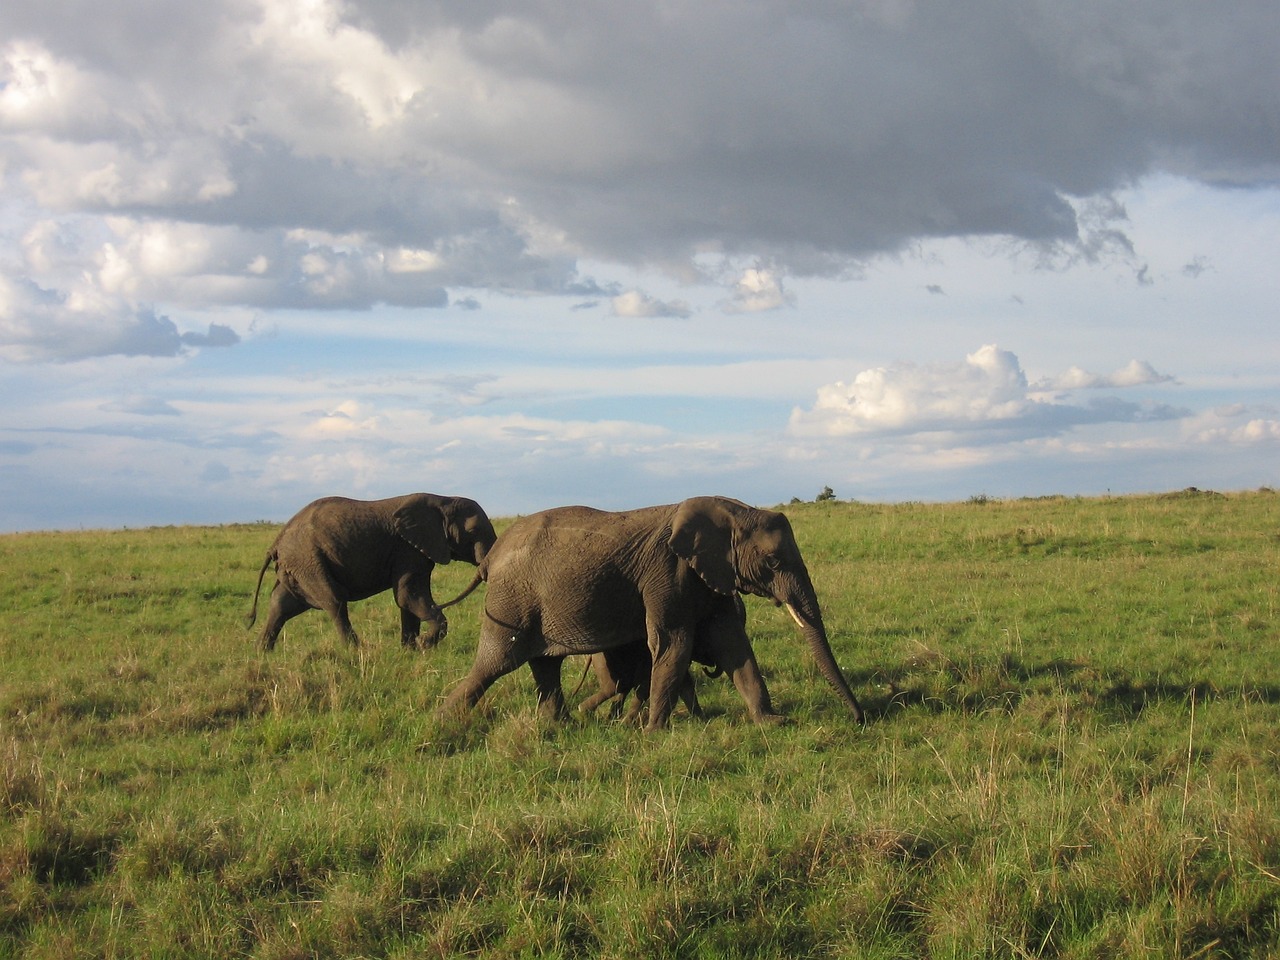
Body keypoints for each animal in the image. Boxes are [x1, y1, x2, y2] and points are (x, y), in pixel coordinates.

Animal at [247, 496, 496, 655]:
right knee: (334, 601)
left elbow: (407, 599)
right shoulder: (408, 549)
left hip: (298, 566)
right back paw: (357, 651)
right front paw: (424, 644)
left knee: (282, 603)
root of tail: (276, 542)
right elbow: (408, 596)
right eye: (473, 531)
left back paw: (262, 653)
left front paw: (410, 650)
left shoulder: (417, 551)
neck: (443, 500)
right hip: (308, 560)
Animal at [435, 499, 865, 732]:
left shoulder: (711, 576)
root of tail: (490, 557)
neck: (731, 511)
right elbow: (673, 643)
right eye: (773, 561)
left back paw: (562, 726)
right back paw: (444, 720)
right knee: (495, 663)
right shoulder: (666, 572)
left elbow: (733, 645)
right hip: (511, 599)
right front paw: (654, 732)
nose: (860, 719)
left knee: (545, 665)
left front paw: (771, 723)